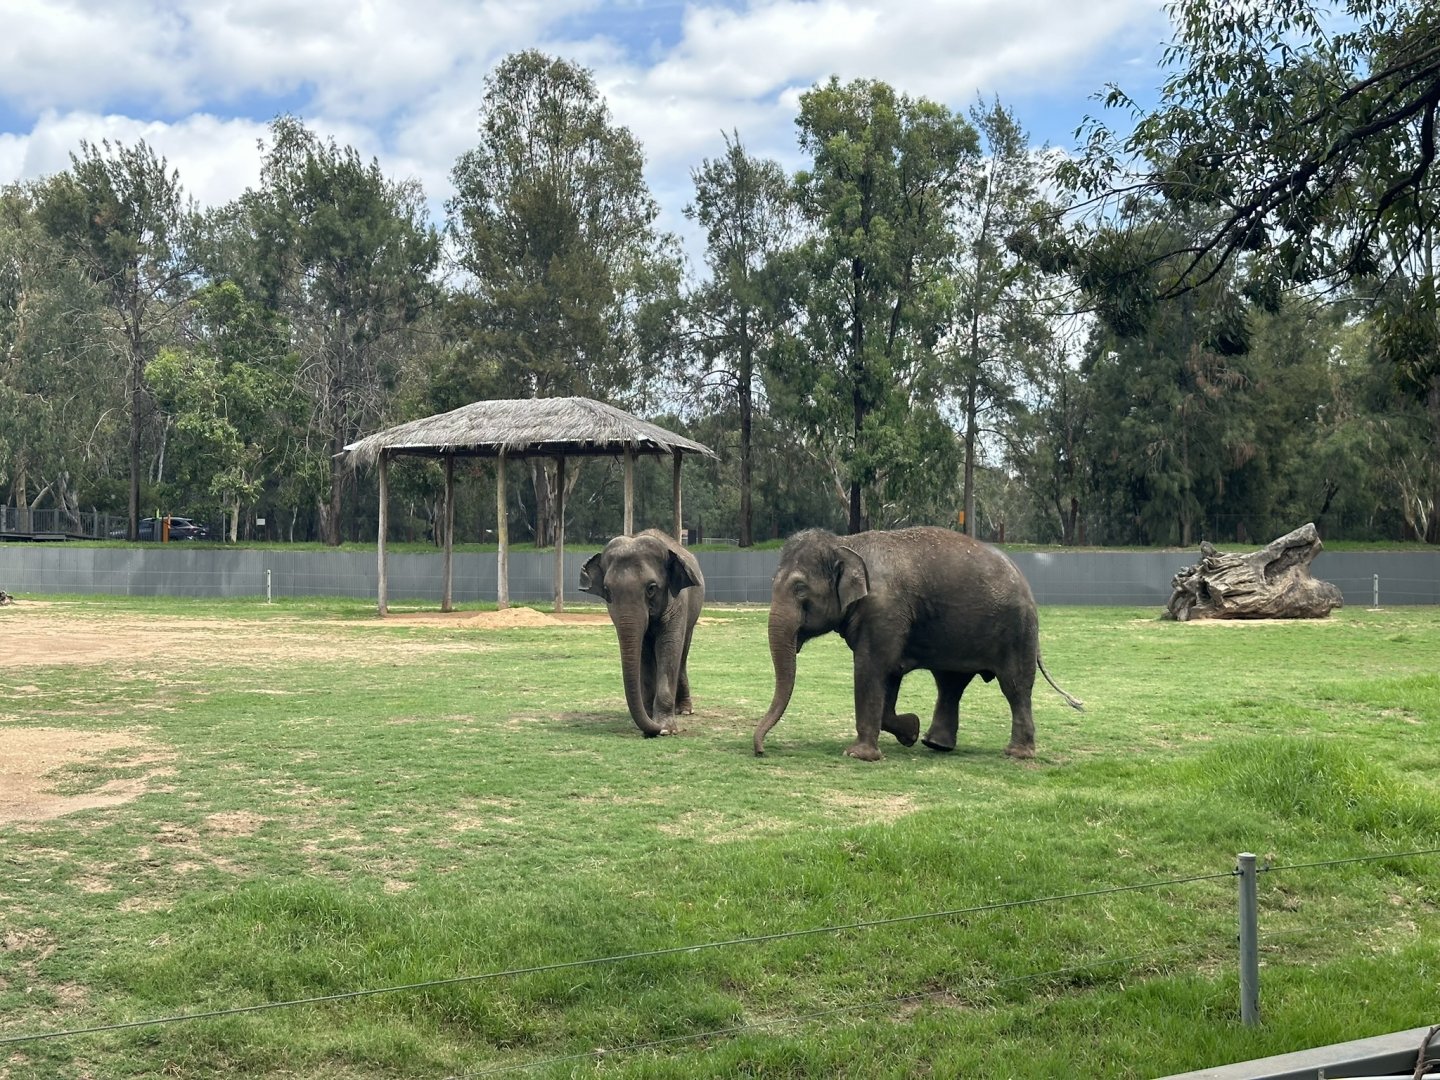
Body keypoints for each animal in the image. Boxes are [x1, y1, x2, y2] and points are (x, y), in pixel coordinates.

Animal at [580, 529, 705, 737]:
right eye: (607, 590)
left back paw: (685, 710)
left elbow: (669, 646)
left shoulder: (678, 602)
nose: (654, 730)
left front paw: (666, 729)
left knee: (683, 654)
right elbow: (644, 652)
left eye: (651, 588)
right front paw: (650, 721)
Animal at [753, 526, 1082, 760]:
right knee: (950, 684)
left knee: (1014, 686)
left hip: (1017, 631)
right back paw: (935, 744)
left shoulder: (884, 611)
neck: (848, 544)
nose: (760, 751)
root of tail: (1027, 585)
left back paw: (1017, 754)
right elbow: (889, 674)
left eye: (799, 588)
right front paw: (910, 730)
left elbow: (871, 668)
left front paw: (858, 755)